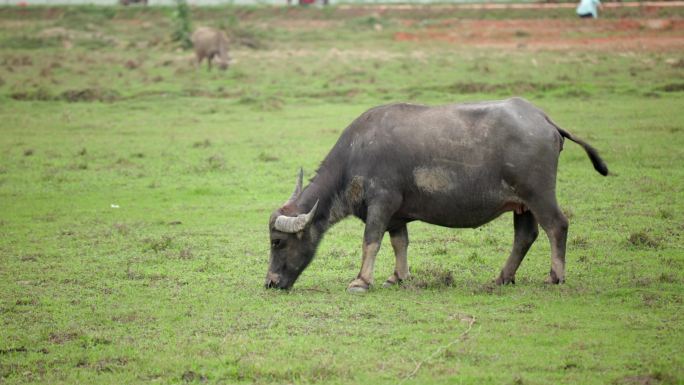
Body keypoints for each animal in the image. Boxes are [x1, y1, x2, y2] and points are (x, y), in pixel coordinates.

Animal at [264, 97, 608, 292]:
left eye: (277, 242)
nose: (270, 283)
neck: (356, 153)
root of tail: (544, 119)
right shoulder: (396, 215)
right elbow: (399, 243)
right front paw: (398, 277)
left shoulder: (381, 203)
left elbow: (370, 241)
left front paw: (361, 281)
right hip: (521, 205)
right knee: (525, 236)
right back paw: (501, 278)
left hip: (538, 195)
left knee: (556, 226)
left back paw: (554, 277)